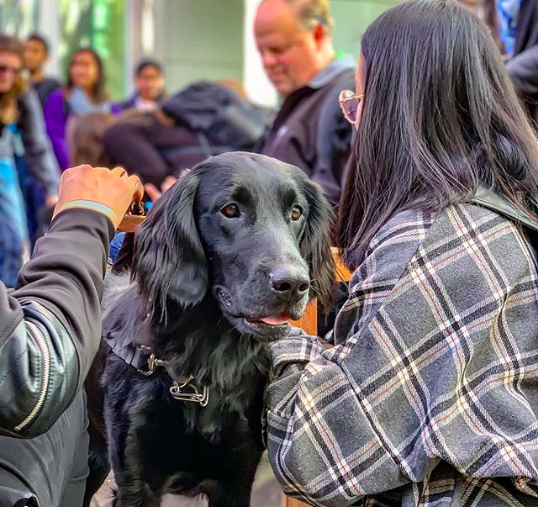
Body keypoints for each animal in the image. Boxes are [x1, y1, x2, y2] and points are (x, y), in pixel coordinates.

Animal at [85, 153, 330, 507]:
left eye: (296, 212)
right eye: (230, 210)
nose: (294, 284)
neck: (206, 367)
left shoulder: (235, 480)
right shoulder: (137, 483)